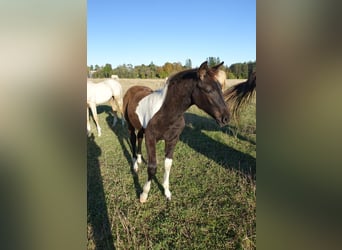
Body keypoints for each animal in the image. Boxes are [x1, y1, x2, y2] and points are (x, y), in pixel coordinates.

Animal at [123, 61, 230, 203]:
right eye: (208, 90)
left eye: (220, 88)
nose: (226, 118)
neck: (166, 112)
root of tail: (132, 88)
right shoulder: (151, 138)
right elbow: (152, 167)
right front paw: (144, 195)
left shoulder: (172, 139)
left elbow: (168, 165)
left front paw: (167, 192)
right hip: (130, 125)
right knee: (133, 139)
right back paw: (135, 165)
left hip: (141, 127)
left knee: (139, 138)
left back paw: (139, 160)